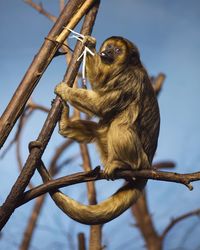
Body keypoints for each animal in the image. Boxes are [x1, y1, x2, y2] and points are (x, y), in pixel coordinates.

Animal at [51, 36, 159, 226]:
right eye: (108, 47)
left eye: (117, 50)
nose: (106, 52)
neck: (125, 68)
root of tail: (150, 164)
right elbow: (99, 82)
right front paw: (88, 44)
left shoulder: (129, 80)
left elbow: (100, 105)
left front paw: (65, 90)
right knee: (100, 128)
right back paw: (64, 125)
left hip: (142, 159)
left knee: (119, 125)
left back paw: (126, 164)